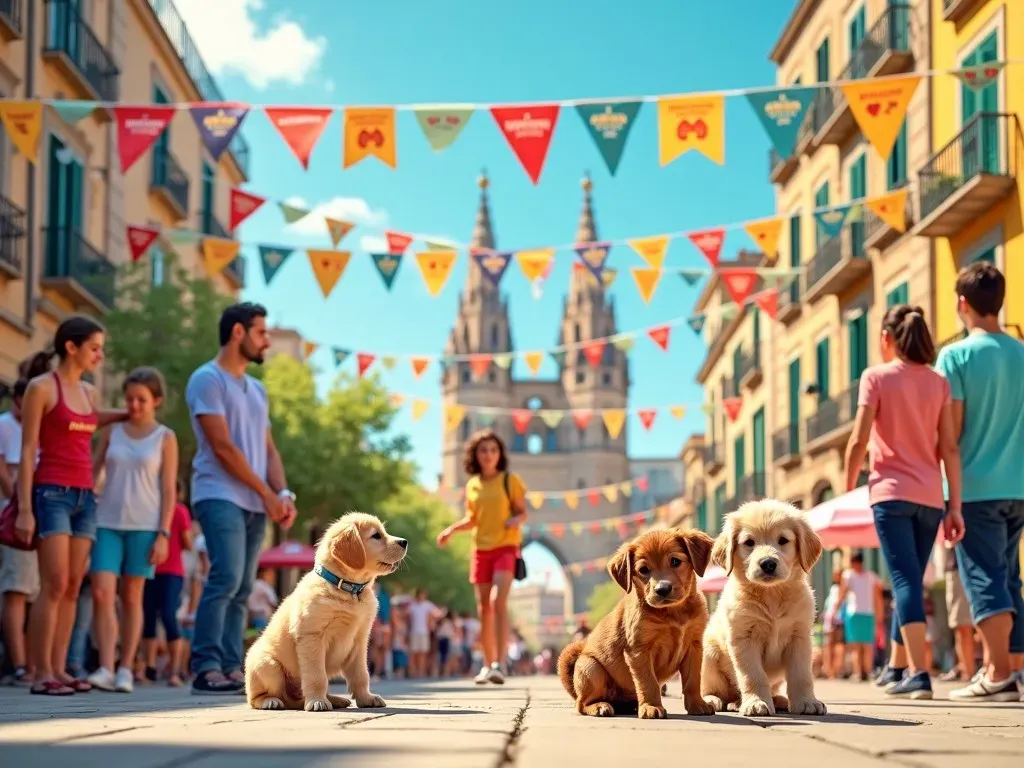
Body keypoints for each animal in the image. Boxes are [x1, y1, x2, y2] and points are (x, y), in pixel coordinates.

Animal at [244, 514, 407, 712]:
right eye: (376, 536)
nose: (404, 542)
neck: (349, 590)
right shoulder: (312, 637)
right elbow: (316, 676)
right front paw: (317, 701)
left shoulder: (360, 640)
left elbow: (361, 674)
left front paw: (366, 698)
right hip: (268, 665)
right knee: (256, 698)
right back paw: (270, 701)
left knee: (297, 699)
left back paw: (335, 699)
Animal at [557, 528, 716, 720]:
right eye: (643, 570)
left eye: (675, 561)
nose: (662, 589)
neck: (674, 612)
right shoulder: (639, 651)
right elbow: (649, 683)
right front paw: (651, 707)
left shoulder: (694, 647)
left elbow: (693, 680)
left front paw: (697, 705)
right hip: (591, 669)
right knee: (581, 703)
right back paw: (600, 706)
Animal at [700, 501, 827, 720]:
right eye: (749, 542)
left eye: (783, 540)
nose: (768, 563)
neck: (772, 595)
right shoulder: (744, 638)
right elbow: (753, 675)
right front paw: (756, 703)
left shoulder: (800, 637)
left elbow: (801, 675)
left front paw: (807, 702)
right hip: (708, 653)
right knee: (710, 688)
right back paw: (715, 700)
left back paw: (776, 700)